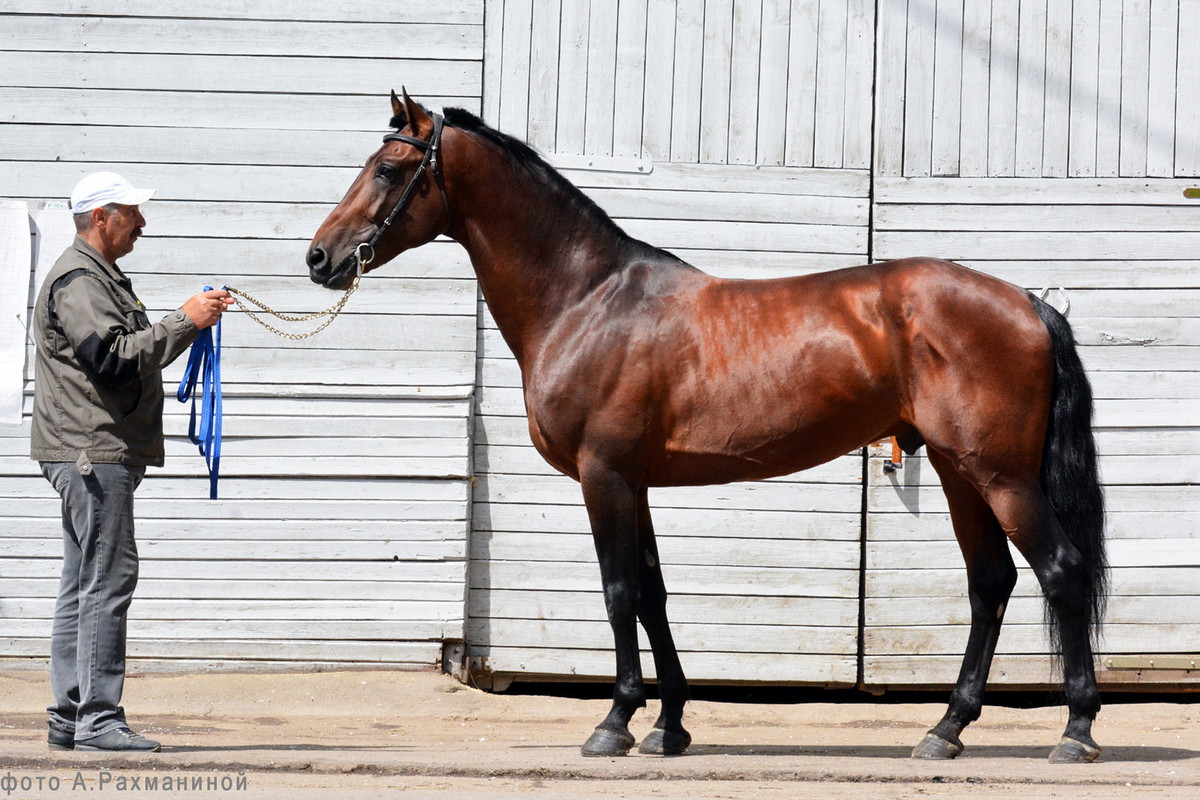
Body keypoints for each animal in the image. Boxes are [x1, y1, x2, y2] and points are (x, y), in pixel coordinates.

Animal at [307, 90, 1104, 767]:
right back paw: (946, 729)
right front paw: (669, 727)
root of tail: (1028, 303)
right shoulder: (635, 482)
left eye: (387, 168)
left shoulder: (604, 475)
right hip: (955, 468)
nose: (320, 257)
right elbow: (652, 593)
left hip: (999, 475)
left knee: (1060, 571)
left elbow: (618, 590)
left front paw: (614, 723)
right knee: (991, 582)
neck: (587, 299)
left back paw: (1075, 730)